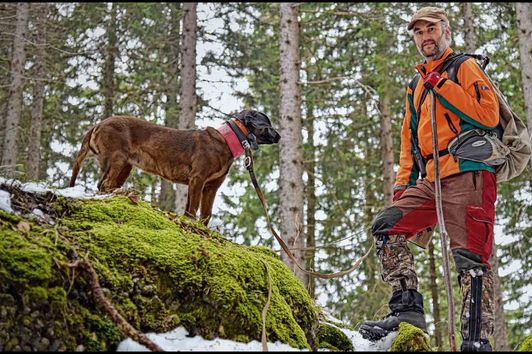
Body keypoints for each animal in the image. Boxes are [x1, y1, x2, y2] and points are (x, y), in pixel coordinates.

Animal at [68, 110, 280, 224]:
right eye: (268, 124)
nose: (279, 136)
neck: (227, 140)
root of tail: (98, 124)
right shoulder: (198, 179)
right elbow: (193, 208)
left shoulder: (211, 187)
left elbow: (205, 214)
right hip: (116, 159)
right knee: (103, 184)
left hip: (125, 167)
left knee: (106, 185)